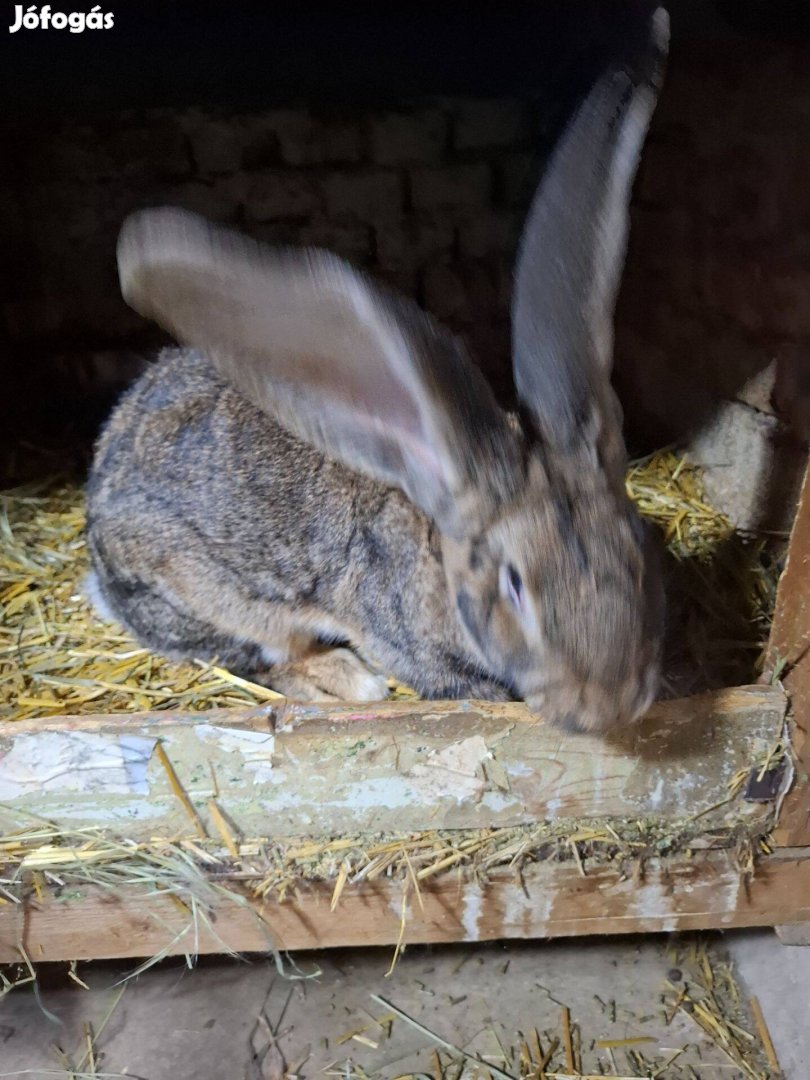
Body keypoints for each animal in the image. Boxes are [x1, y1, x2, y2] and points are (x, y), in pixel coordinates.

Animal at [85, 9, 668, 734]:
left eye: (638, 551)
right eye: (514, 585)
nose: (608, 708)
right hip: (207, 592)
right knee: (255, 656)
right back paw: (347, 680)